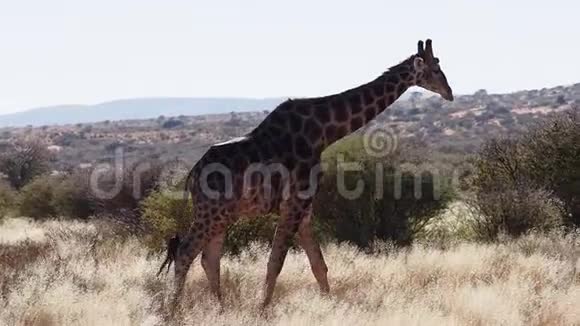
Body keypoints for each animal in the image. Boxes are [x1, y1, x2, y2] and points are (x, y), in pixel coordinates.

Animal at [168, 38, 454, 308]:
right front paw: (263, 309)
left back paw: (220, 307)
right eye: (436, 69)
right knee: (185, 253)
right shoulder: (293, 204)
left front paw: (329, 304)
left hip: (222, 214)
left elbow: (318, 264)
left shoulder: (305, 208)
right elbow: (276, 262)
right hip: (211, 212)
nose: (449, 93)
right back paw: (174, 310)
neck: (323, 133)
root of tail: (192, 175)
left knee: (209, 259)